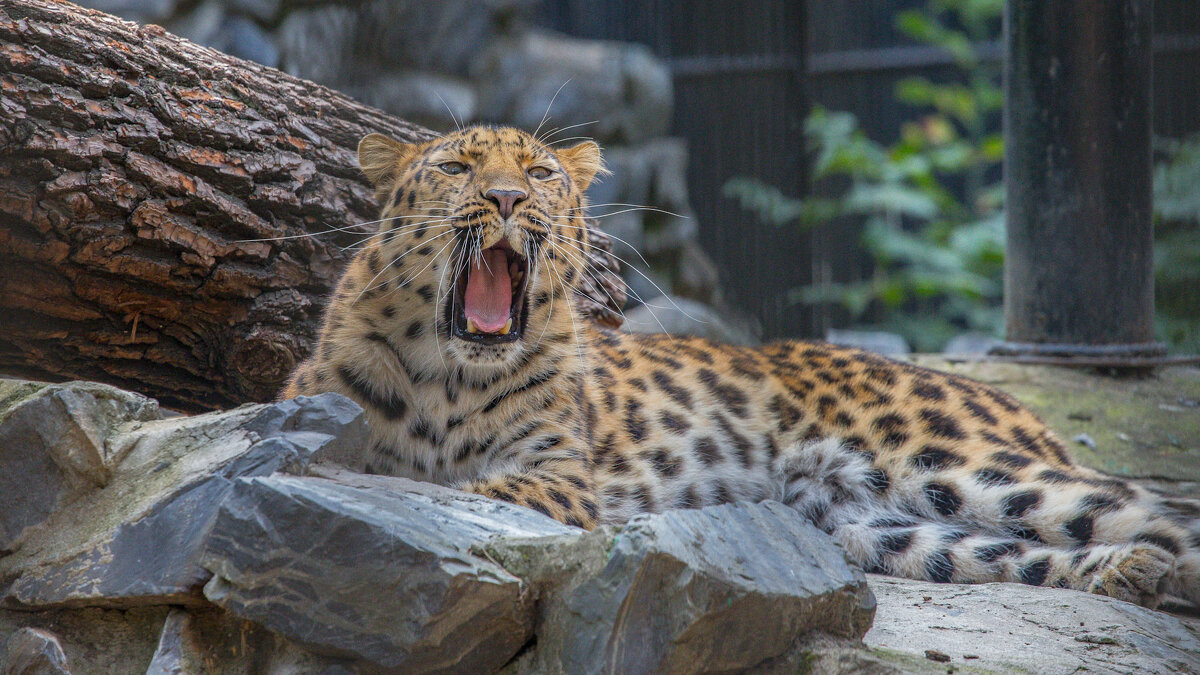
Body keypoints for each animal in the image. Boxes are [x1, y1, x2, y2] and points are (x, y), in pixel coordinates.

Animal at [283, 123, 1200, 607]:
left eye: (539, 172)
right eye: (456, 166)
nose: (508, 198)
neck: (449, 370)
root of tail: (1016, 404)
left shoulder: (560, 478)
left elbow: (472, 491)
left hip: (965, 464)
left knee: (1150, 507)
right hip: (878, 527)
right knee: (1019, 549)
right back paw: (1137, 574)